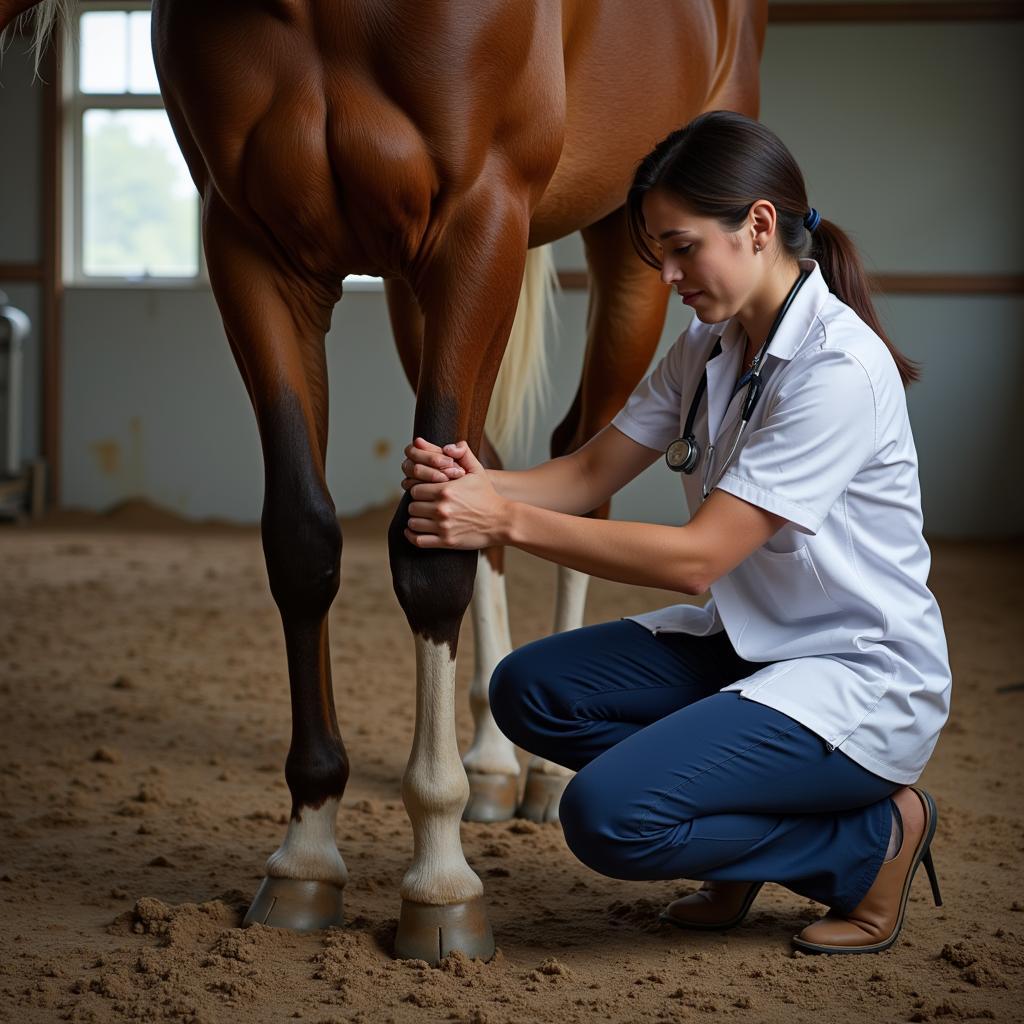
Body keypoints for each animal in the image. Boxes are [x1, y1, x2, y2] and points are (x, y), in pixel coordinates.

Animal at [2, 0, 770, 962]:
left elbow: (430, 556)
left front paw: (440, 879)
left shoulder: (479, 224)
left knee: (584, 469)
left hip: (626, 246)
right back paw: (493, 760)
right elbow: (304, 540)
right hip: (416, 285)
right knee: (490, 472)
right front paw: (306, 854)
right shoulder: (252, 247)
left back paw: (548, 776)